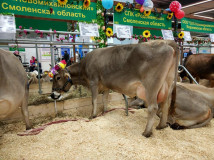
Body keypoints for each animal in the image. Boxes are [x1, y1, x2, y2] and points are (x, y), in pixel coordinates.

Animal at [50, 40, 179, 138]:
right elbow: (105, 99)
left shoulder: (93, 82)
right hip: (168, 83)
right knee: (165, 104)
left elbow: (94, 100)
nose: (52, 94)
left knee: (153, 107)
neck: (83, 69)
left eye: (57, 77)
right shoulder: (106, 86)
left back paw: (146, 132)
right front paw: (105, 112)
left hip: (151, 85)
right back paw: (161, 126)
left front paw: (92, 115)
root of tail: (166, 43)